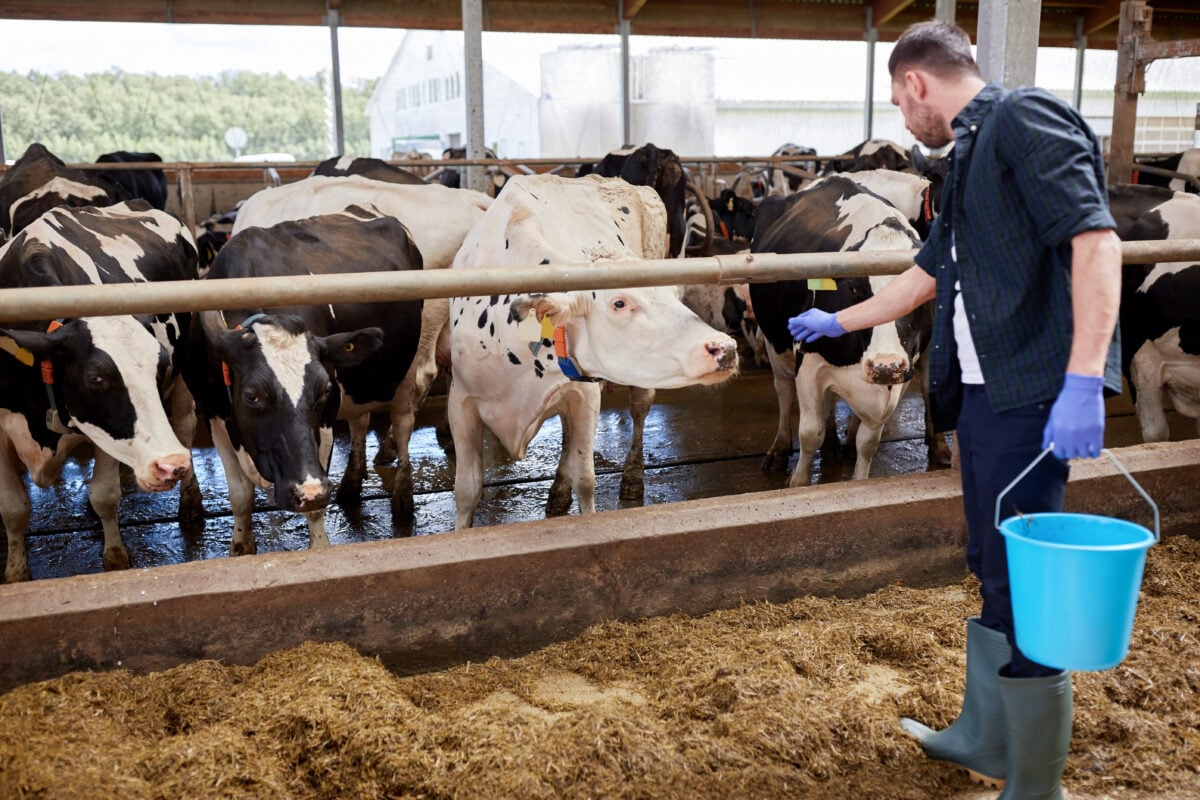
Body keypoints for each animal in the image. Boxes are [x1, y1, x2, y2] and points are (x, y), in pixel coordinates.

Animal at [0, 201, 199, 582]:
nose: (171, 465)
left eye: (159, 366)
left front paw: (115, 560)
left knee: (185, 423)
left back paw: (191, 502)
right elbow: (13, 509)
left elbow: (105, 496)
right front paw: (16, 573)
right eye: (96, 378)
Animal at [177, 206, 422, 556]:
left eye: (323, 391)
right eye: (252, 395)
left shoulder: (326, 421)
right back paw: (351, 484)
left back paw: (402, 497)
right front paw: (240, 547)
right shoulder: (215, 415)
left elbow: (316, 509)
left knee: (403, 425)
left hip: (408, 369)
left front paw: (319, 544)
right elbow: (240, 495)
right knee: (360, 422)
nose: (308, 491)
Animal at [744, 177, 931, 484]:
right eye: (853, 288)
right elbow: (810, 433)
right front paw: (798, 483)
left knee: (829, 402)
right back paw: (779, 450)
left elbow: (867, 442)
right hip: (775, 344)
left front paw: (857, 481)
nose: (885, 366)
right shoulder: (807, 362)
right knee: (783, 390)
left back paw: (832, 444)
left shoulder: (903, 373)